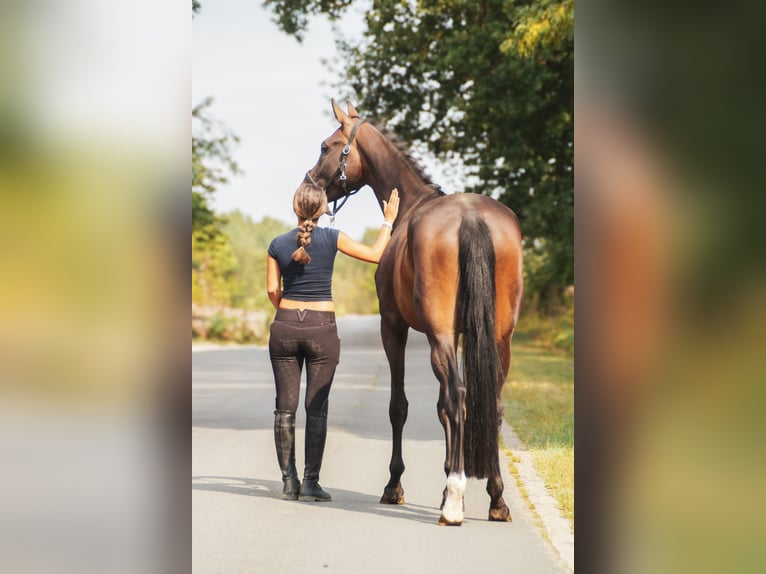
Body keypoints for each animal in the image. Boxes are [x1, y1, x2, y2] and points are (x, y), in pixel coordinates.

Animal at [304, 100, 524, 525]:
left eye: (327, 146)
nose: (310, 184)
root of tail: (471, 216)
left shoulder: (394, 327)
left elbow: (401, 406)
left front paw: (397, 486)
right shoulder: (460, 334)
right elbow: (442, 409)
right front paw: (444, 484)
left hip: (436, 334)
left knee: (458, 395)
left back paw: (454, 503)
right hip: (499, 337)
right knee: (490, 402)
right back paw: (496, 499)